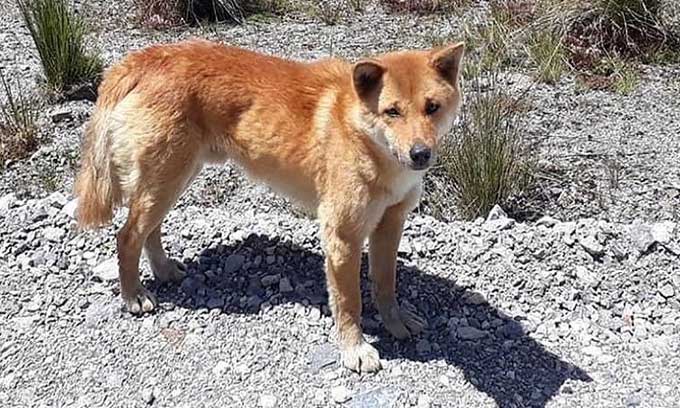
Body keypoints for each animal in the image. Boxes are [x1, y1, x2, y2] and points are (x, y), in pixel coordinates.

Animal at [75, 39, 468, 374]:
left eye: (432, 107)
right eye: (392, 112)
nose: (420, 154)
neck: (365, 139)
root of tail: (146, 56)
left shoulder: (390, 225)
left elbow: (386, 285)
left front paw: (395, 322)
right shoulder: (343, 236)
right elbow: (349, 303)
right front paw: (354, 349)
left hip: (172, 180)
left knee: (149, 232)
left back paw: (164, 270)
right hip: (165, 181)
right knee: (127, 237)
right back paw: (134, 296)